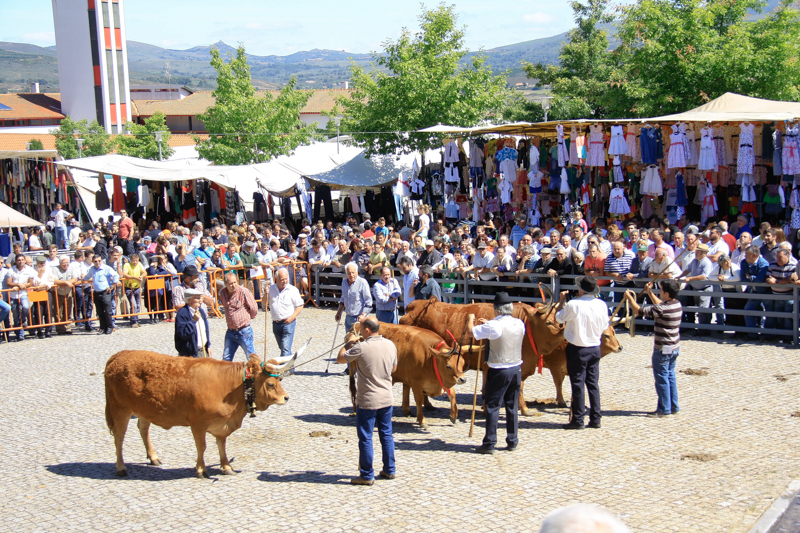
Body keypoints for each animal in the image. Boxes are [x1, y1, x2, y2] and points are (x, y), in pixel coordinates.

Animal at [106, 350, 292, 478]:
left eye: (279, 379)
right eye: (270, 384)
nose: (286, 397)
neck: (229, 386)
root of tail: (118, 355)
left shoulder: (222, 424)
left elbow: (221, 444)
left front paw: (226, 467)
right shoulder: (198, 423)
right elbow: (201, 447)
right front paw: (201, 470)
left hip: (145, 410)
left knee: (143, 429)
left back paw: (153, 458)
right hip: (120, 409)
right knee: (119, 437)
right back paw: (121, 467)